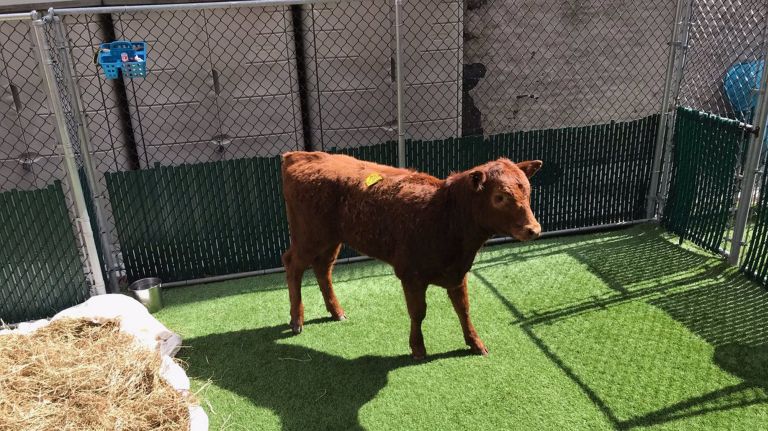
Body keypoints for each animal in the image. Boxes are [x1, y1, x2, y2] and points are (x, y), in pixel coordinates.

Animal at [280, 151, 542, 359]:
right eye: (500, 197)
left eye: (528, 192)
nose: (533, 229)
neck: (444, 214)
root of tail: (301, 155)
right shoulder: (411, 275)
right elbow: (418, 312)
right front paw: (418, 349)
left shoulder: (458, 273)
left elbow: (463, 308)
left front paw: (475, 343)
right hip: (309, 236)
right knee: (293, 264)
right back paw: (296, 320)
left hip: (331, 239)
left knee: (323, 268)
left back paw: (337, 312)